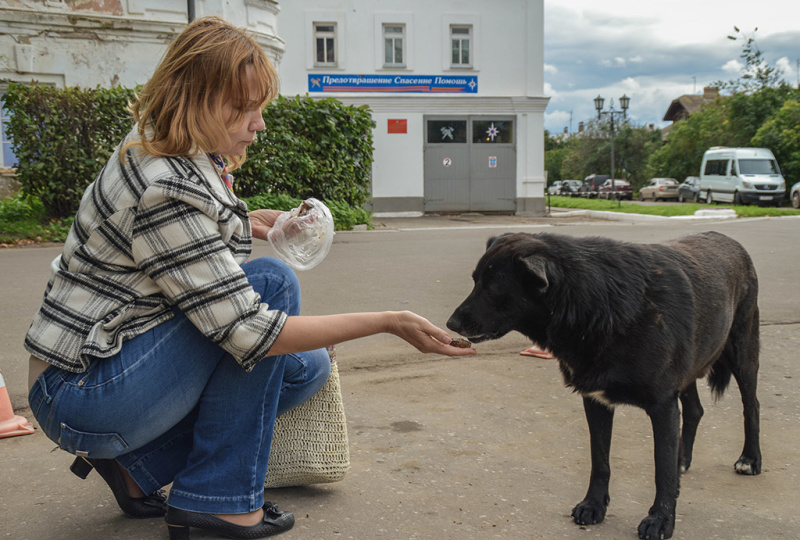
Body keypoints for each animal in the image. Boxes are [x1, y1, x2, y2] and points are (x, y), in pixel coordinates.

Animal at [450, 232, 764, 540]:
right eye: (475, 281)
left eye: (492, 288)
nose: (450, 323)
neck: (598, 302)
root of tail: (728, 239)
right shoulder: (596, 401)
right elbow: (600, 461)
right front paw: (593, 505)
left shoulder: (663, 406)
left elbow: (661, 469)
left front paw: (661, 520)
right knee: (696, 410)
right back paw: (683, 459)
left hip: (742, 352)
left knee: (752, 406)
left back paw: (750, 459)